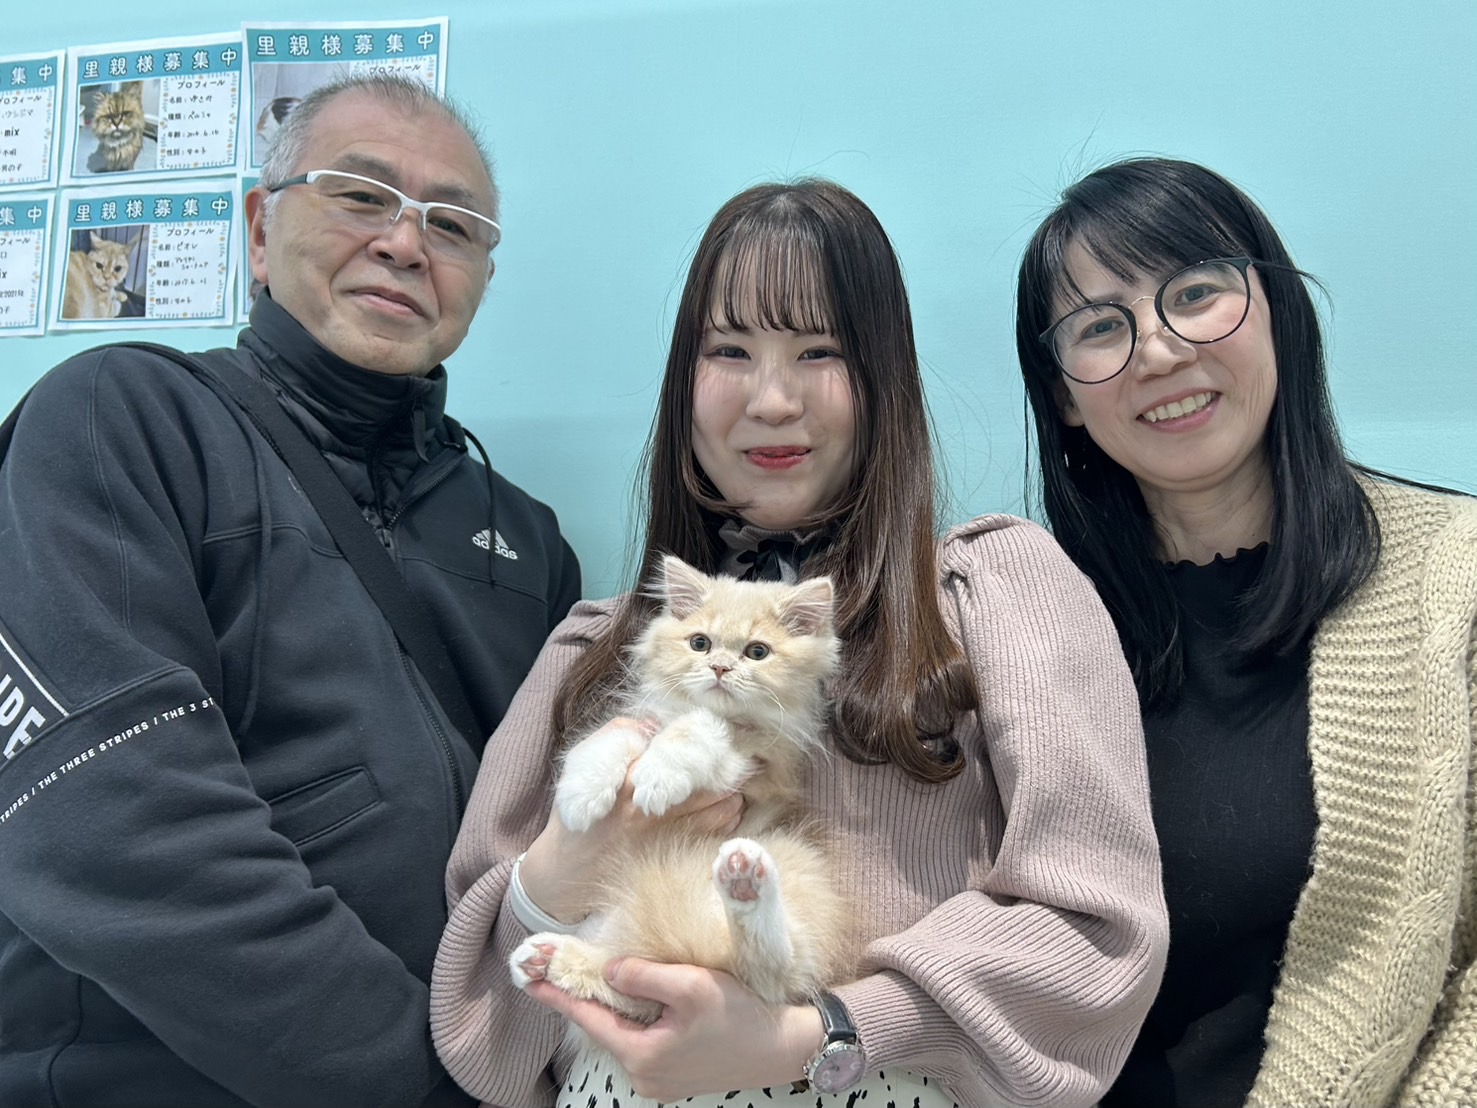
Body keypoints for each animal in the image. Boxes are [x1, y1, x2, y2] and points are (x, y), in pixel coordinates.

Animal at [510, 555, 854, 1098]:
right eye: (700, 643)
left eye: (757, 652)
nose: (719, 668)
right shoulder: (641, 720)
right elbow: (608, 743)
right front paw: (581, 794)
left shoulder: (753, 766)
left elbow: (697, 731)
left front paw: (659, 775)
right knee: (627, 985)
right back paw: (545, 958)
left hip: (791, 873)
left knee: (772, 970)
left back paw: (743, 879)